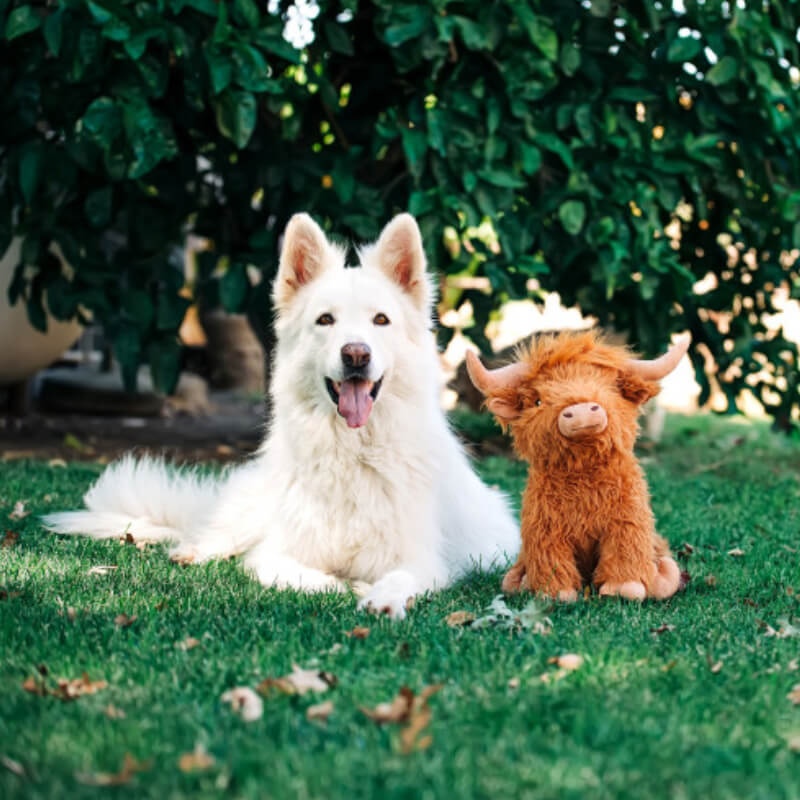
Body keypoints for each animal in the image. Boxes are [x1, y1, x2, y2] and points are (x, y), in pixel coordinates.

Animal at [43, 212, 520, 620]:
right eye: (325, 320)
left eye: (381, 320)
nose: (356, 354)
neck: (352, 452)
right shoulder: (277, 553)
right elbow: (299, 574)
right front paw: (343, 585)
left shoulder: (423, 559)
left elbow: (400, 576)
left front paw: (380, 596)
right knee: (217, 532)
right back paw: (193, 550)